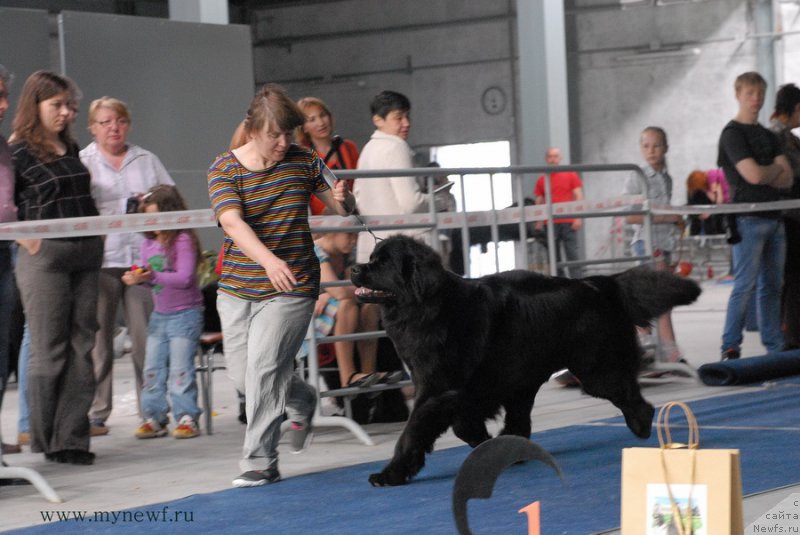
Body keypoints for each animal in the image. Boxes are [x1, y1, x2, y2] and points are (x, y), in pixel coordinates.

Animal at [350, 237, 700, 488]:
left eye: (382, 262)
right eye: (371, 258)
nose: (353, 268)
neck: (428, 305)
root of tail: (596, 283)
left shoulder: (436, 388)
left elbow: (413, 431)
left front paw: (389, 474)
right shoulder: (465, 391)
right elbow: (464, 424)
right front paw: (482, 444)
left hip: (592, 369)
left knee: (626, 392)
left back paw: (642, 424)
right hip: (525, 375)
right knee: (520, 419)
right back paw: (509, 450)